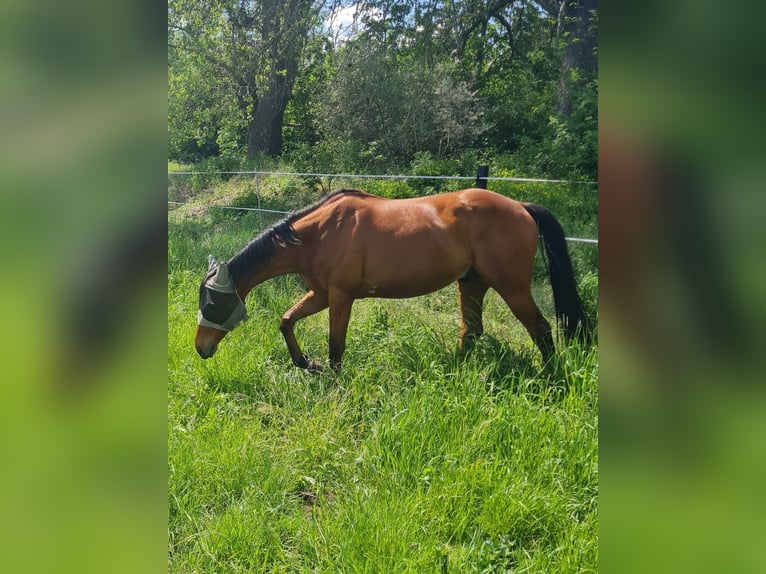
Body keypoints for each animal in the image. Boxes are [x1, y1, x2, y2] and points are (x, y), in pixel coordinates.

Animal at [195, 187, 592, 372]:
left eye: (212, 302)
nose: (201, 348)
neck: (319, 233)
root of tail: (521, 207)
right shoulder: (320, 293)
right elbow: (286, 321)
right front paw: (306, 363)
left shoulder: (339, 296)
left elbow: (336, 345)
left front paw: (330, 378)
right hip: (472, 283)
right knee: (472, 330)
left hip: (511, 286)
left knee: (540, 329)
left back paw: (551, 381)